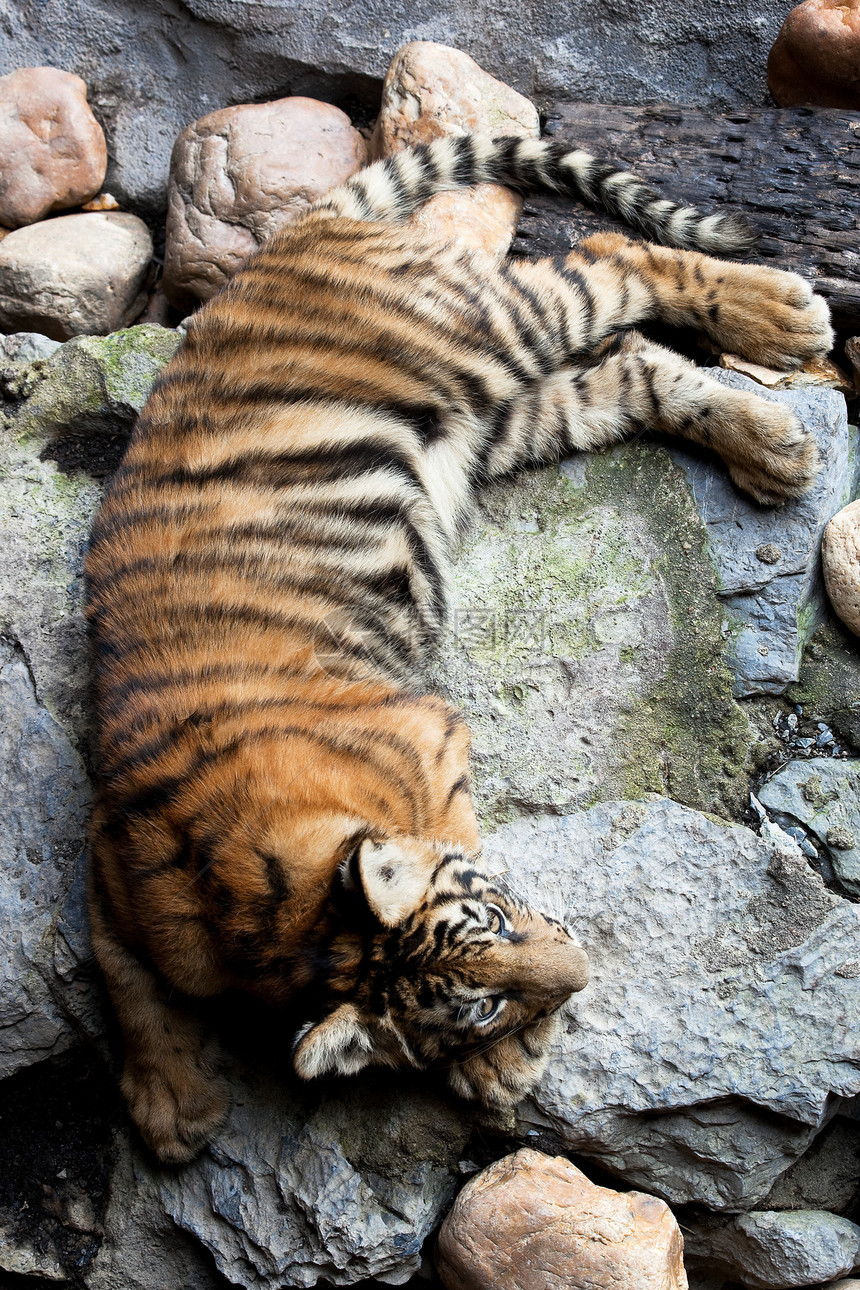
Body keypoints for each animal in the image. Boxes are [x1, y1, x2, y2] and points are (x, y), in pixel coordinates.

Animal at [83, 128, 830, 1161]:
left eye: (501, 921)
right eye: (475, 1004)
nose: (582, 970)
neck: (275, 908)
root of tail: (293, 237)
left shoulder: (432, 744)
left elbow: (464, 834)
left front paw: (506, 1068)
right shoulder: (114, 864)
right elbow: (120, 973)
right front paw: (171, 1103)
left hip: (488, 331)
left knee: (616, 259)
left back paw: (785, 324)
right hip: (502, 420)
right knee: (632, 366)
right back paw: (770, 442)